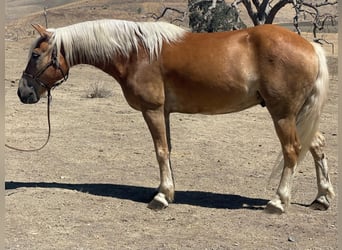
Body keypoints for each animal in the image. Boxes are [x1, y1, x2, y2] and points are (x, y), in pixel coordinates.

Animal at [16, 19, 334, 213]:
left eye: (36, 55)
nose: (23, 92)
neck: (136, 53)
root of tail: (310, 46)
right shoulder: (165, 112)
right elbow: (167, 150)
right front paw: (167, 190)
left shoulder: (153, 110)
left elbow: (160, 150)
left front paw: (161, 197)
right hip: (299, 114)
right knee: (317, 145)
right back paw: (322, 197)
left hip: (283, 114)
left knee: (292, 150)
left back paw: (278, 202)